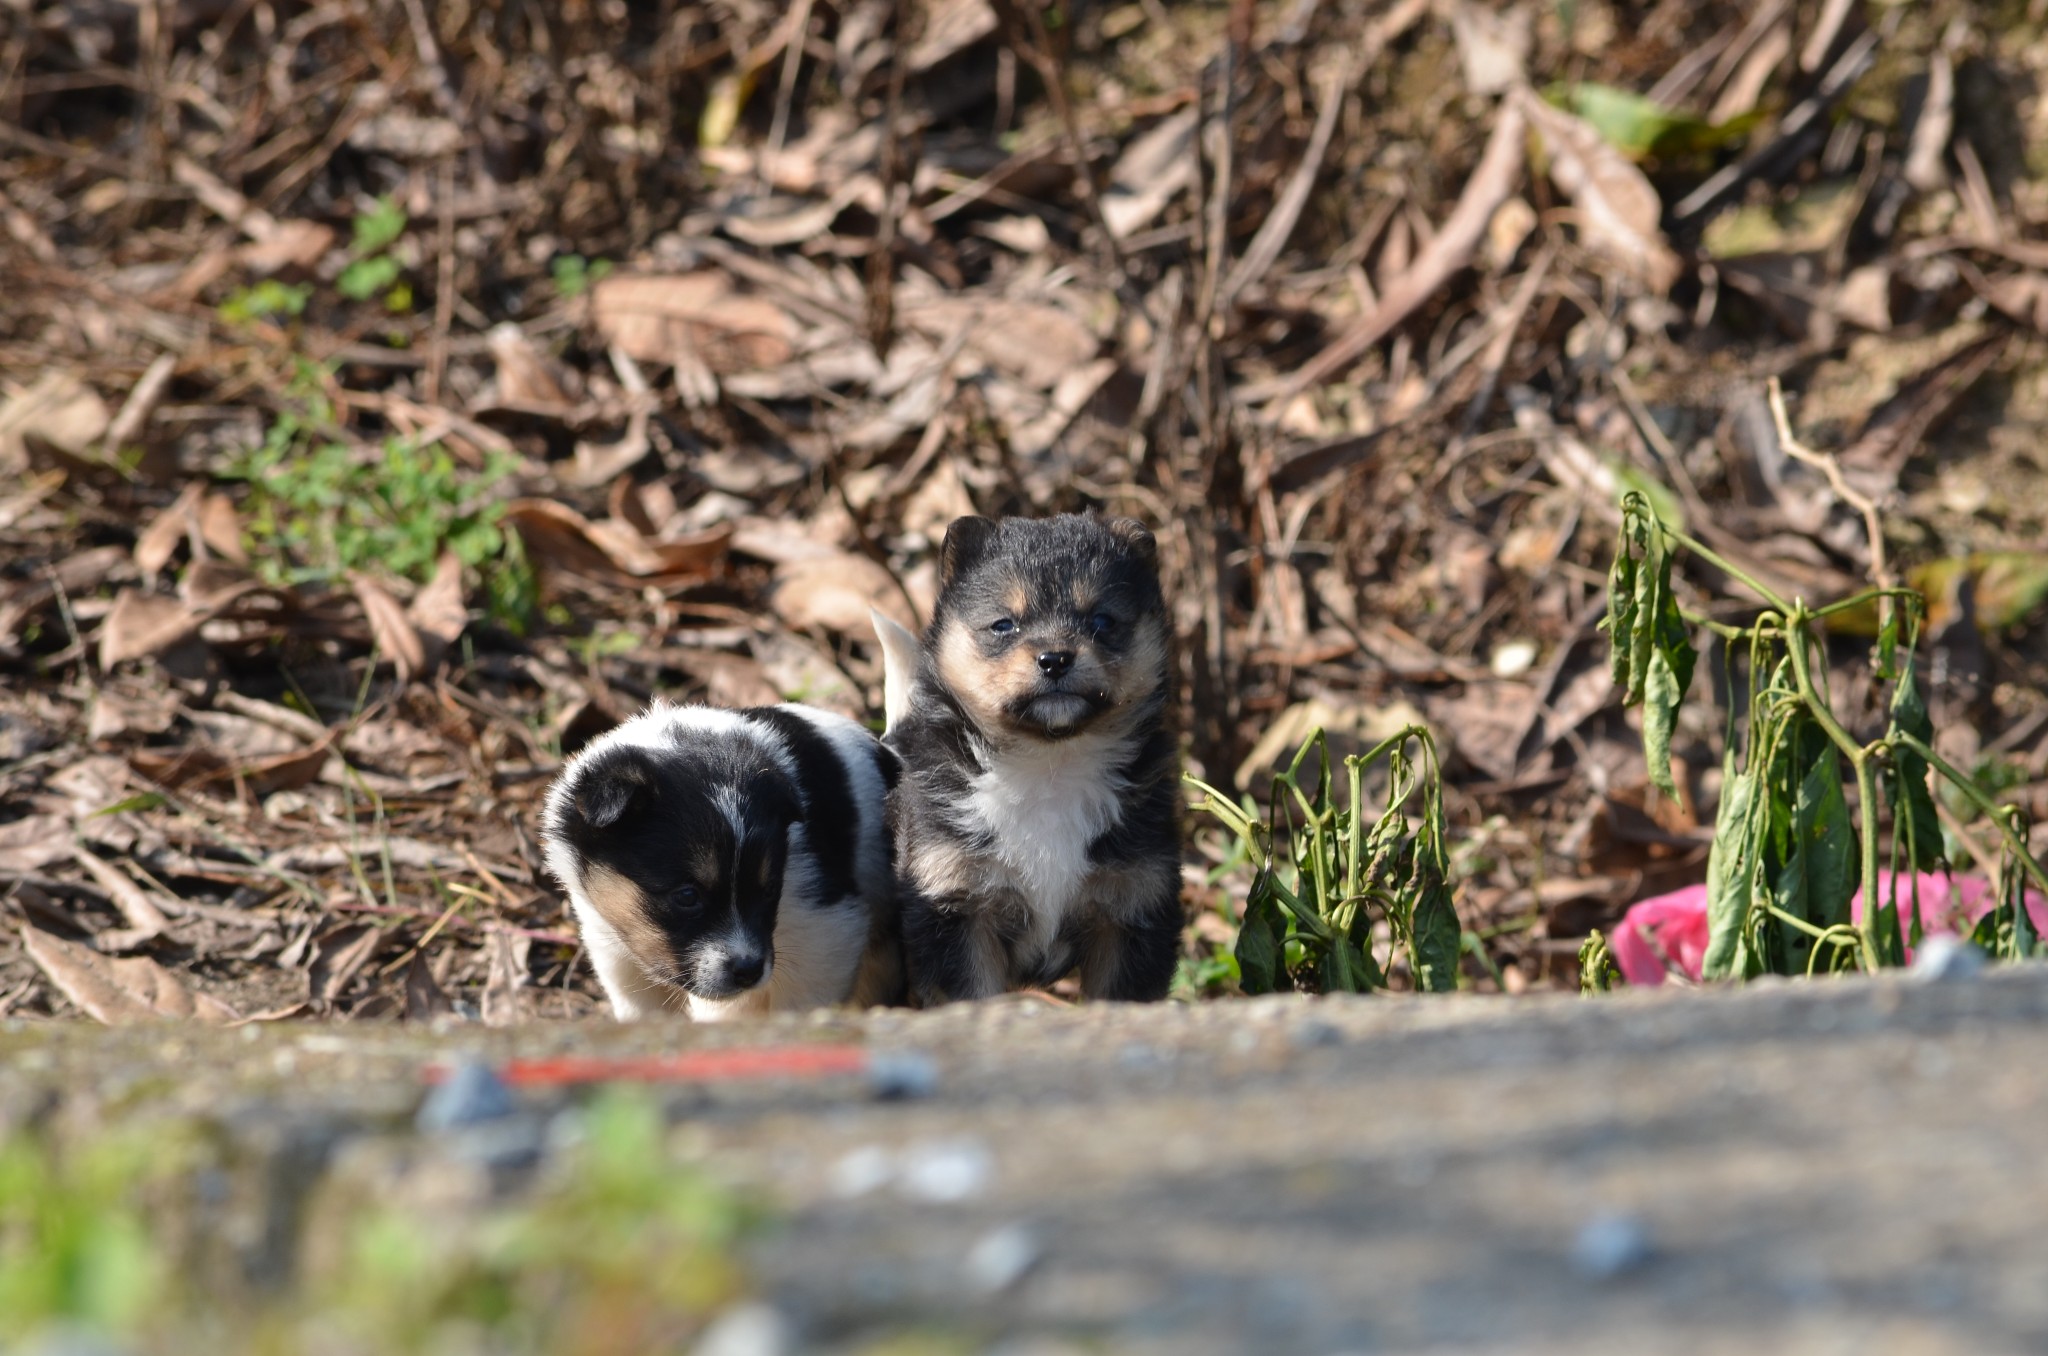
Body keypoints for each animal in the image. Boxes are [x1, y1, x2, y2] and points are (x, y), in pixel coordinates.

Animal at [876, 516, 1187, 1003]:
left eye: (1102, 620)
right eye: (1004, 624)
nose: (1056, 659)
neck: (1049, 764)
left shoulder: (1134, 904)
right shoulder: (957, 905)